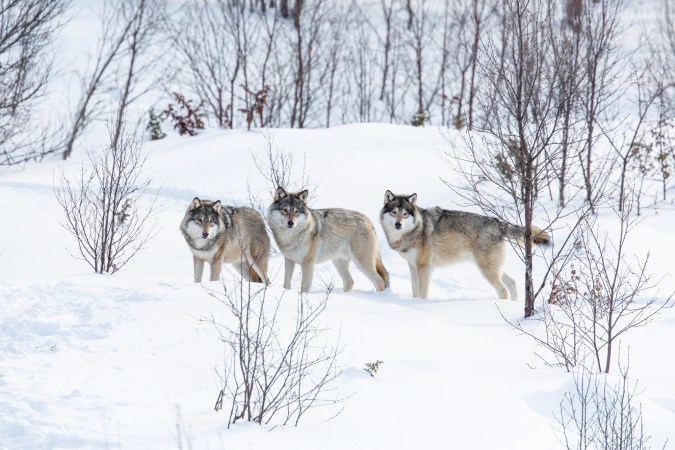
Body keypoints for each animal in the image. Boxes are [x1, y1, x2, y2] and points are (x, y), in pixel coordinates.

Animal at [380, 190, 548, 298]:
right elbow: (414, 290)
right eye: (394, 212)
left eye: (405, 214)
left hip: (486, 270)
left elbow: (422, 293)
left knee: (503, 290)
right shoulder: (412, 266)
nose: (398, 224)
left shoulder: (424, 267)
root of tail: (498, 223)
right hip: (494, 268)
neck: (415, 230)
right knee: (512, 283)